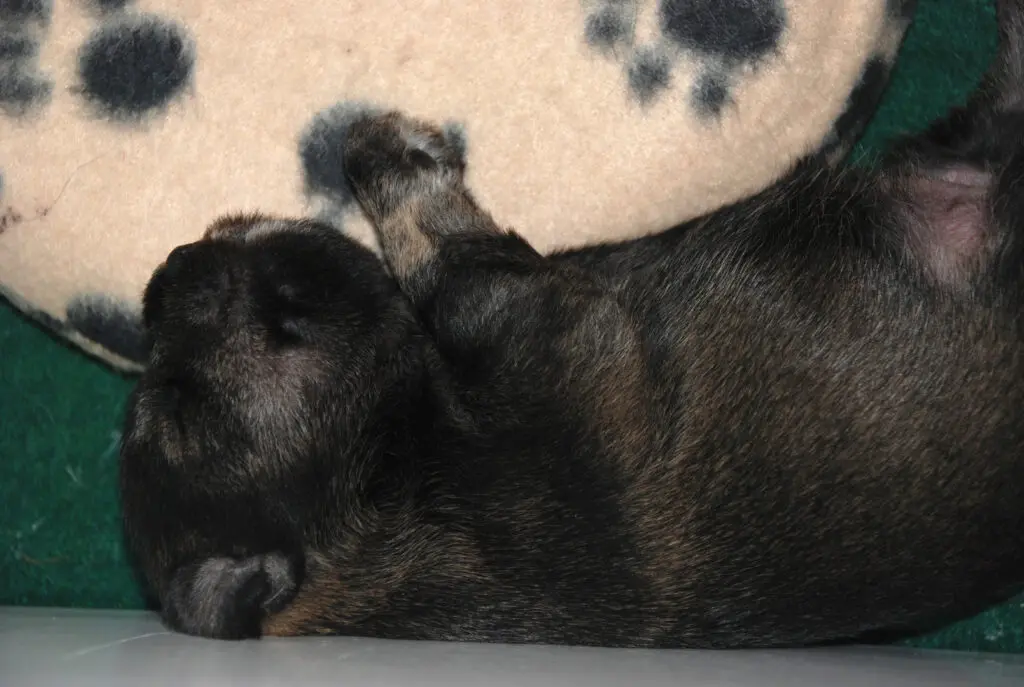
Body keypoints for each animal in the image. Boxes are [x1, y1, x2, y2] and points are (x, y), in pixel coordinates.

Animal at [121, 2, 1024, 647]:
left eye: (150, 400)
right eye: (176, 407)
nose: (165, 273)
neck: (389, 472)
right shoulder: (523, 314)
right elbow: (428, 230)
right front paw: (392, 146)